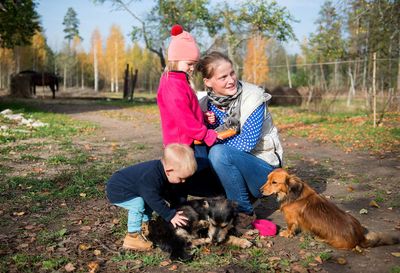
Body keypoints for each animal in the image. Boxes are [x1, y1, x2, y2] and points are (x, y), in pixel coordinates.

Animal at [260, 168, 398, 249]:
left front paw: (286, 233)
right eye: (267, 179)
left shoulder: (290, 219)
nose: (260, 190)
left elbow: (290, 227)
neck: (293, 194)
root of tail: (359, 237)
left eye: (274, 182)